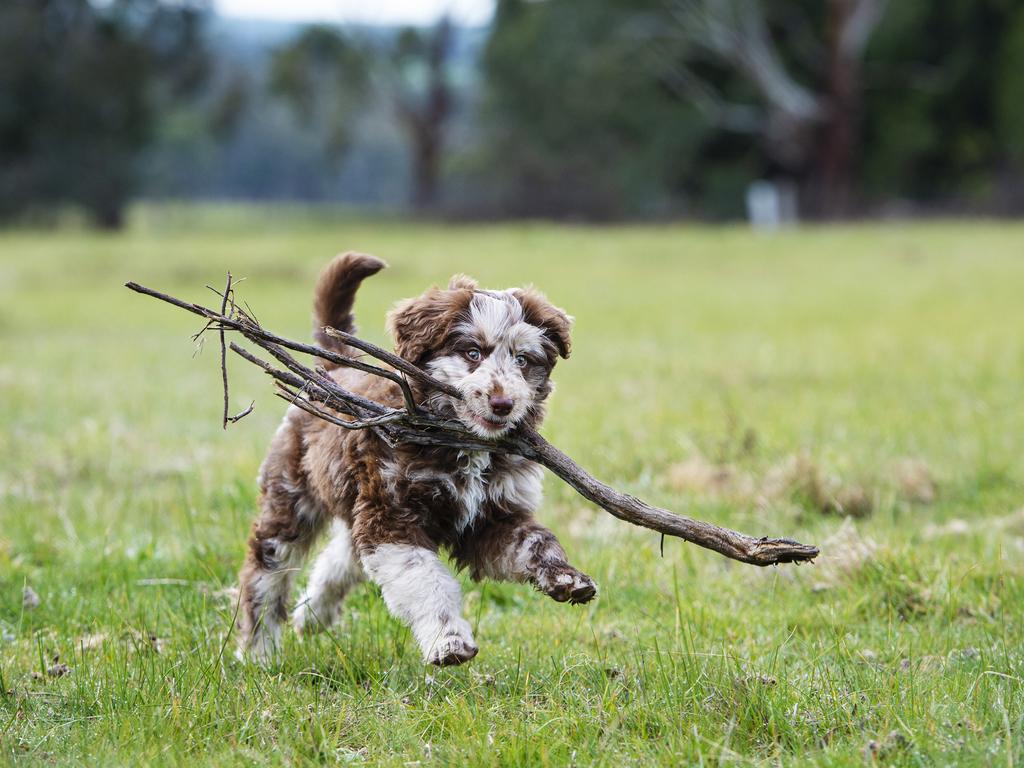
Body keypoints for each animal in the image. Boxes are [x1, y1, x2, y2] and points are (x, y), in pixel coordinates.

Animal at [235, 252, 598, 667]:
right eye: (473, 353)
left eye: (522, 360)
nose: (503, 403)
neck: (464, 443)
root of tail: (335, 368)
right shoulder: (391, 514)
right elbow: (425, 579)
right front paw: (449, 639)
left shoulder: (493, 516)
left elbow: (533, 542)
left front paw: (565, 577)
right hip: (291, 492)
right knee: (266, 570)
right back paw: (258, 652)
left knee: (342, 557)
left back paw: (313, 615)